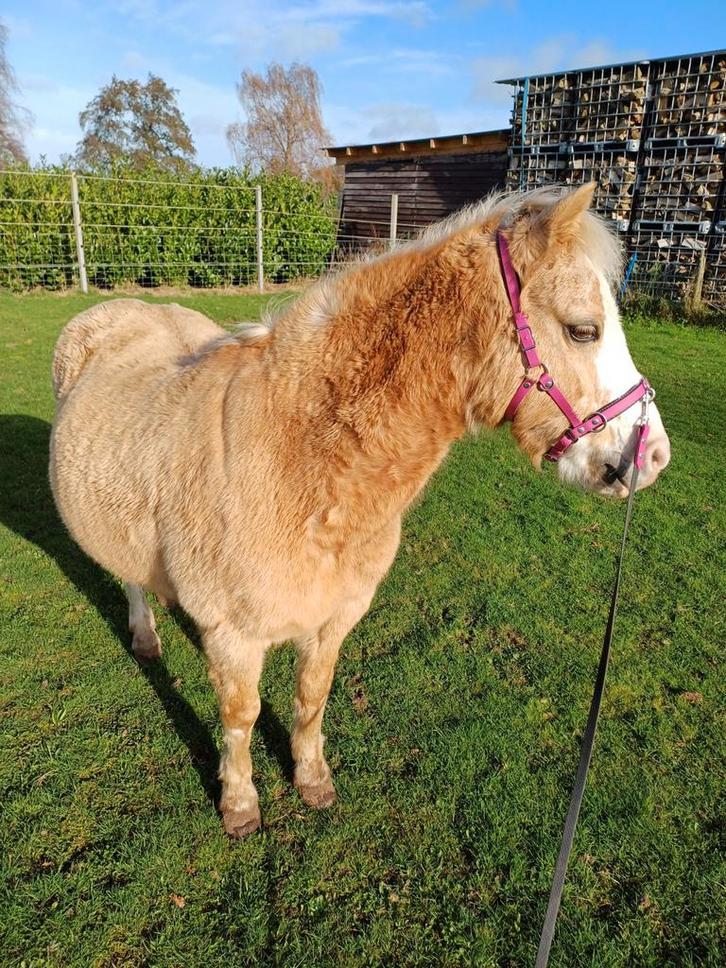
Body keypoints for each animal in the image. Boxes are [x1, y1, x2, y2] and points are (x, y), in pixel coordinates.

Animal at [49, 183, 670, 838]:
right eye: (584, 330)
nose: (653, 455)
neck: (303, 463)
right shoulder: (234, 634)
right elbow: (241, 716)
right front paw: (239, 802)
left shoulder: (334, 618)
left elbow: (311, 697)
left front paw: (312, 778)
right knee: (128, 579)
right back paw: (145, 635)